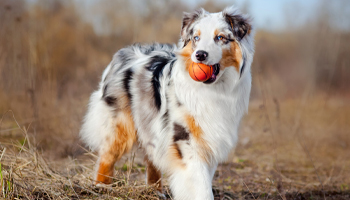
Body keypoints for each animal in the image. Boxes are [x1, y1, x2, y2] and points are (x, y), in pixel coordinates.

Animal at [80, 5, 254, 200]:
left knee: (152, 158)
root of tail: (124, 53)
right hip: (121, 124)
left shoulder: (210, 139)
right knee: (107, 156)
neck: (214, 90)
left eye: (220, 37)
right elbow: (201, 186)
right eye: (196, 38)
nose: (200, 55)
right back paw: (101, 187)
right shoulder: (185, 140)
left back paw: (155, 191)